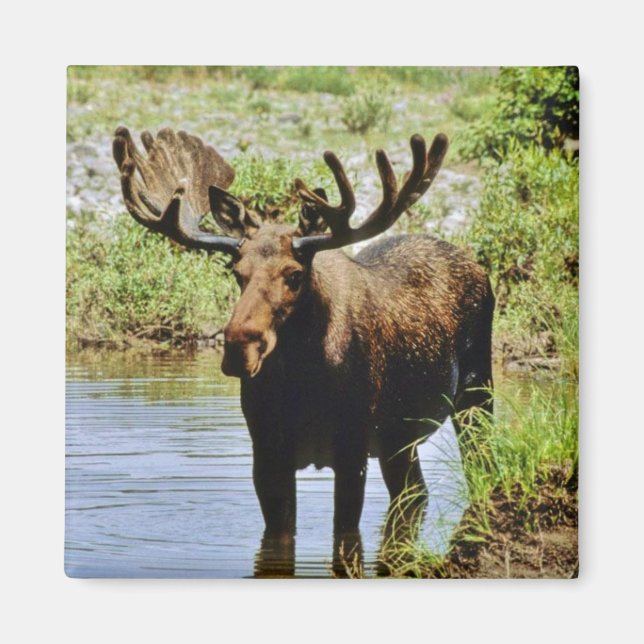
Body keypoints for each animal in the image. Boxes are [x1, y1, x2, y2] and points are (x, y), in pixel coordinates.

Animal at [112, 126, 494, 576]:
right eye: (236, 272)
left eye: (294, 274)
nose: (240, 346)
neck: (302, 385)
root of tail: (476, 265)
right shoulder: (268, 453)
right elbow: (281, 540)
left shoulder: (351, 449)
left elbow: (344, 537)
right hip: (399, 439)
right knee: (414, 495)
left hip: (476, 393)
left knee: (479, 468)